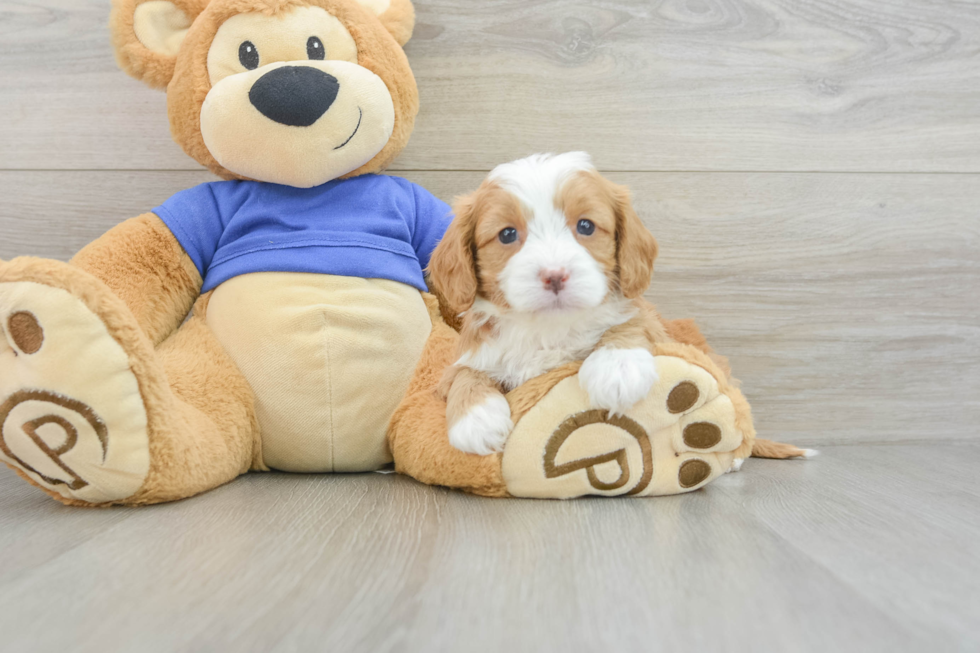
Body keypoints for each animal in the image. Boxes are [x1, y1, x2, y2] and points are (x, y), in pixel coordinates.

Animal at [430, 152, 672, 454]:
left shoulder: (649, 320)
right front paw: (476, 419)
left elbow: (633, 320)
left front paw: (618, 367)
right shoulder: (467, 356)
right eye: (507, 234)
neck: (548, 327)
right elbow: (463, 372)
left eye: (586, 226)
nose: (555, 275)